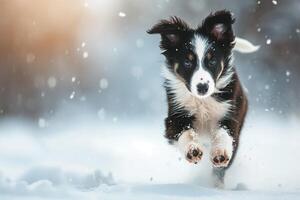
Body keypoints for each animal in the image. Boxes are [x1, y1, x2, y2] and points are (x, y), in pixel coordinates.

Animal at [148, 9, 258, 188]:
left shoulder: (231, 114)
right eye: (187, 62)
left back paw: (217, 185)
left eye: (212, 60)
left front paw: (220, 153)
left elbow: (223, 133)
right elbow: (186, 132)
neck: (202, 100)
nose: (202, 87)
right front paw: (192, 150)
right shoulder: (175, 117)